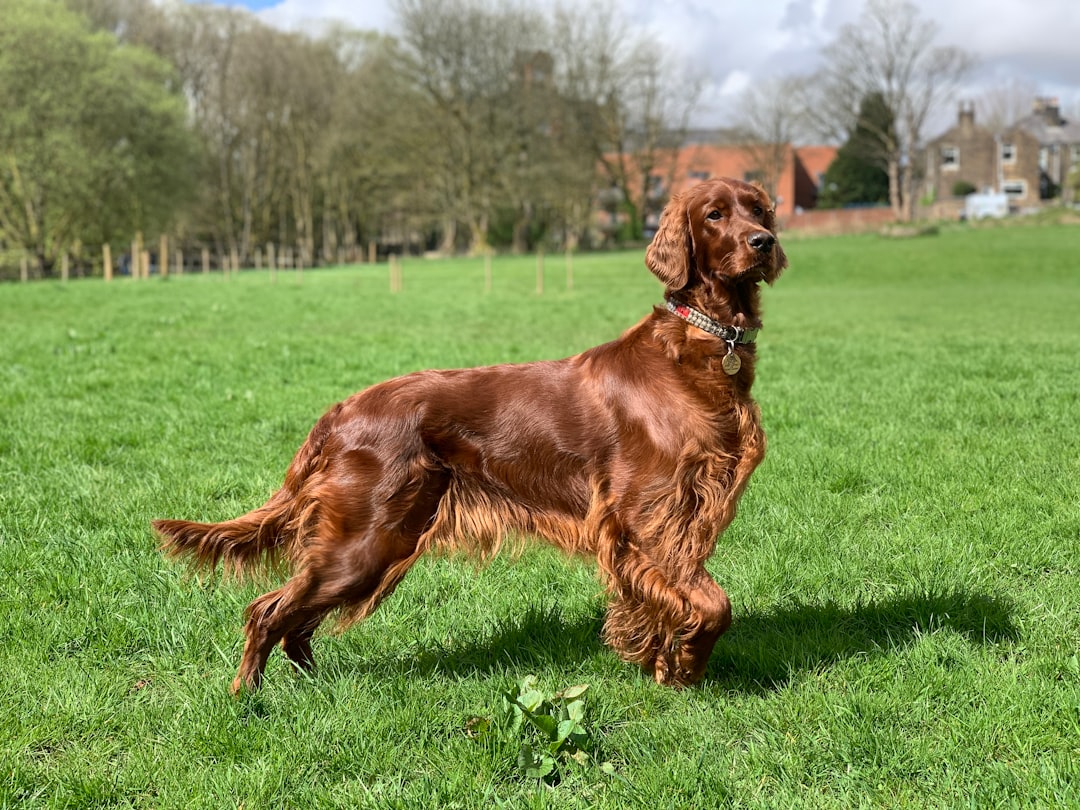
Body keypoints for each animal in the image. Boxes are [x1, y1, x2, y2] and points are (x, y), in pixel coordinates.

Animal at [154, 179, 786, 699]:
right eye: (714, 214)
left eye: (759, 208)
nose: (764, 241)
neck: (699, 347)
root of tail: (340, 411)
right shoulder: (644, 520)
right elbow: (713, 604)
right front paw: (686, 667)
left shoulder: (679, 522)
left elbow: (679, 603)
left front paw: (663, 666)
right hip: (366, 540)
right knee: (269, 611)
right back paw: (246, 700)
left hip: (372, 542)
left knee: (297, 620)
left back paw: (312, 688)